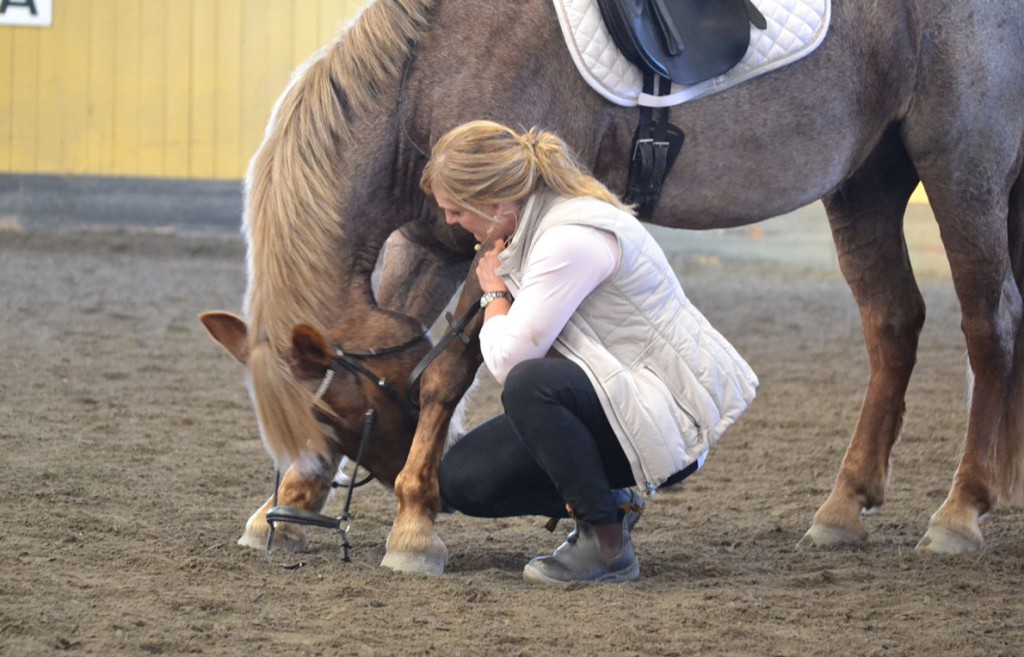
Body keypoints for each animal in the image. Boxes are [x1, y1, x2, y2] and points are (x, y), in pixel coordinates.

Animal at [199, 0, 1024, 573]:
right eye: (321, 420)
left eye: (342, 416)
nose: (429, 488)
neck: (430, 71)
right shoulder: (432, 241)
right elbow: (412, 333)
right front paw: (285, 507)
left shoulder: (488, 248)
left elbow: (443, 377)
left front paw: (413, 526)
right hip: (869, 180)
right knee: (893, 323)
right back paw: (846, 505)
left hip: (962, 168)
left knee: (990, 323)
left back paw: (961, 511)